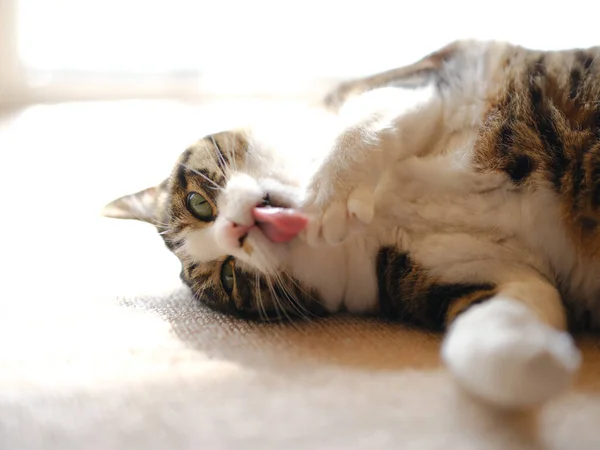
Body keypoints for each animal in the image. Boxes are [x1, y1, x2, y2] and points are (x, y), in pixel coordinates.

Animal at [102, 40, 600, 410]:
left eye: (198, 204)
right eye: (229, 273)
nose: (235, 233)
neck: (379, 218)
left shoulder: (442, 72)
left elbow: (368, 121)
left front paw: (329, 199)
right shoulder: (471, 269)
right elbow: (500, 330)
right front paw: (550, 363)